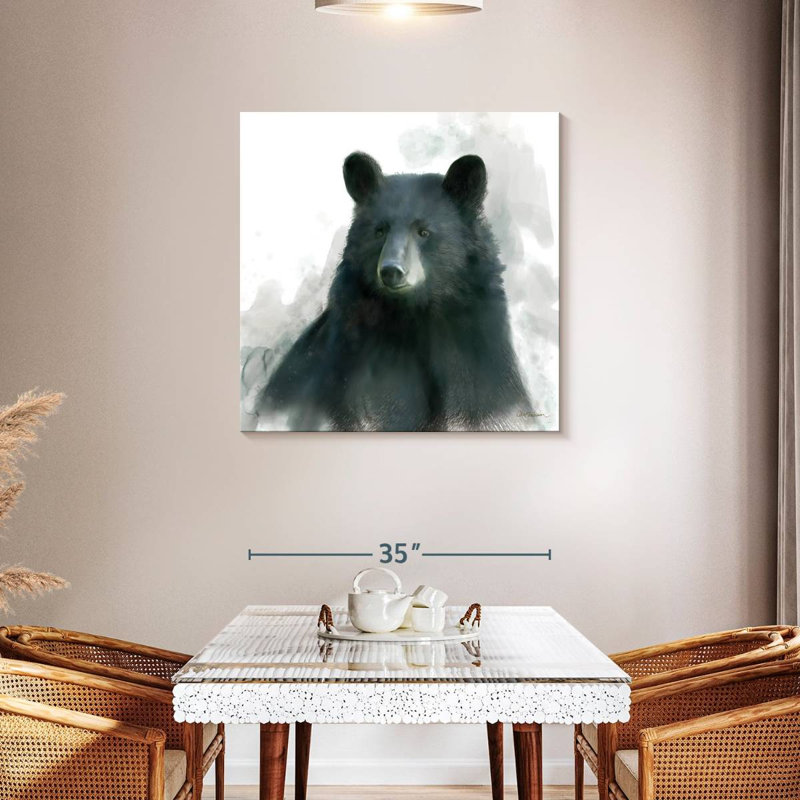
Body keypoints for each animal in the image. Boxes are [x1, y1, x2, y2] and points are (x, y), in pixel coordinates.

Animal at [258, 152, 531, 431]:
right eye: (380, 230)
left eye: (424, 231)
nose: (391, 270)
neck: (416, 315)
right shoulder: (360, 362)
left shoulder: (476, 351)